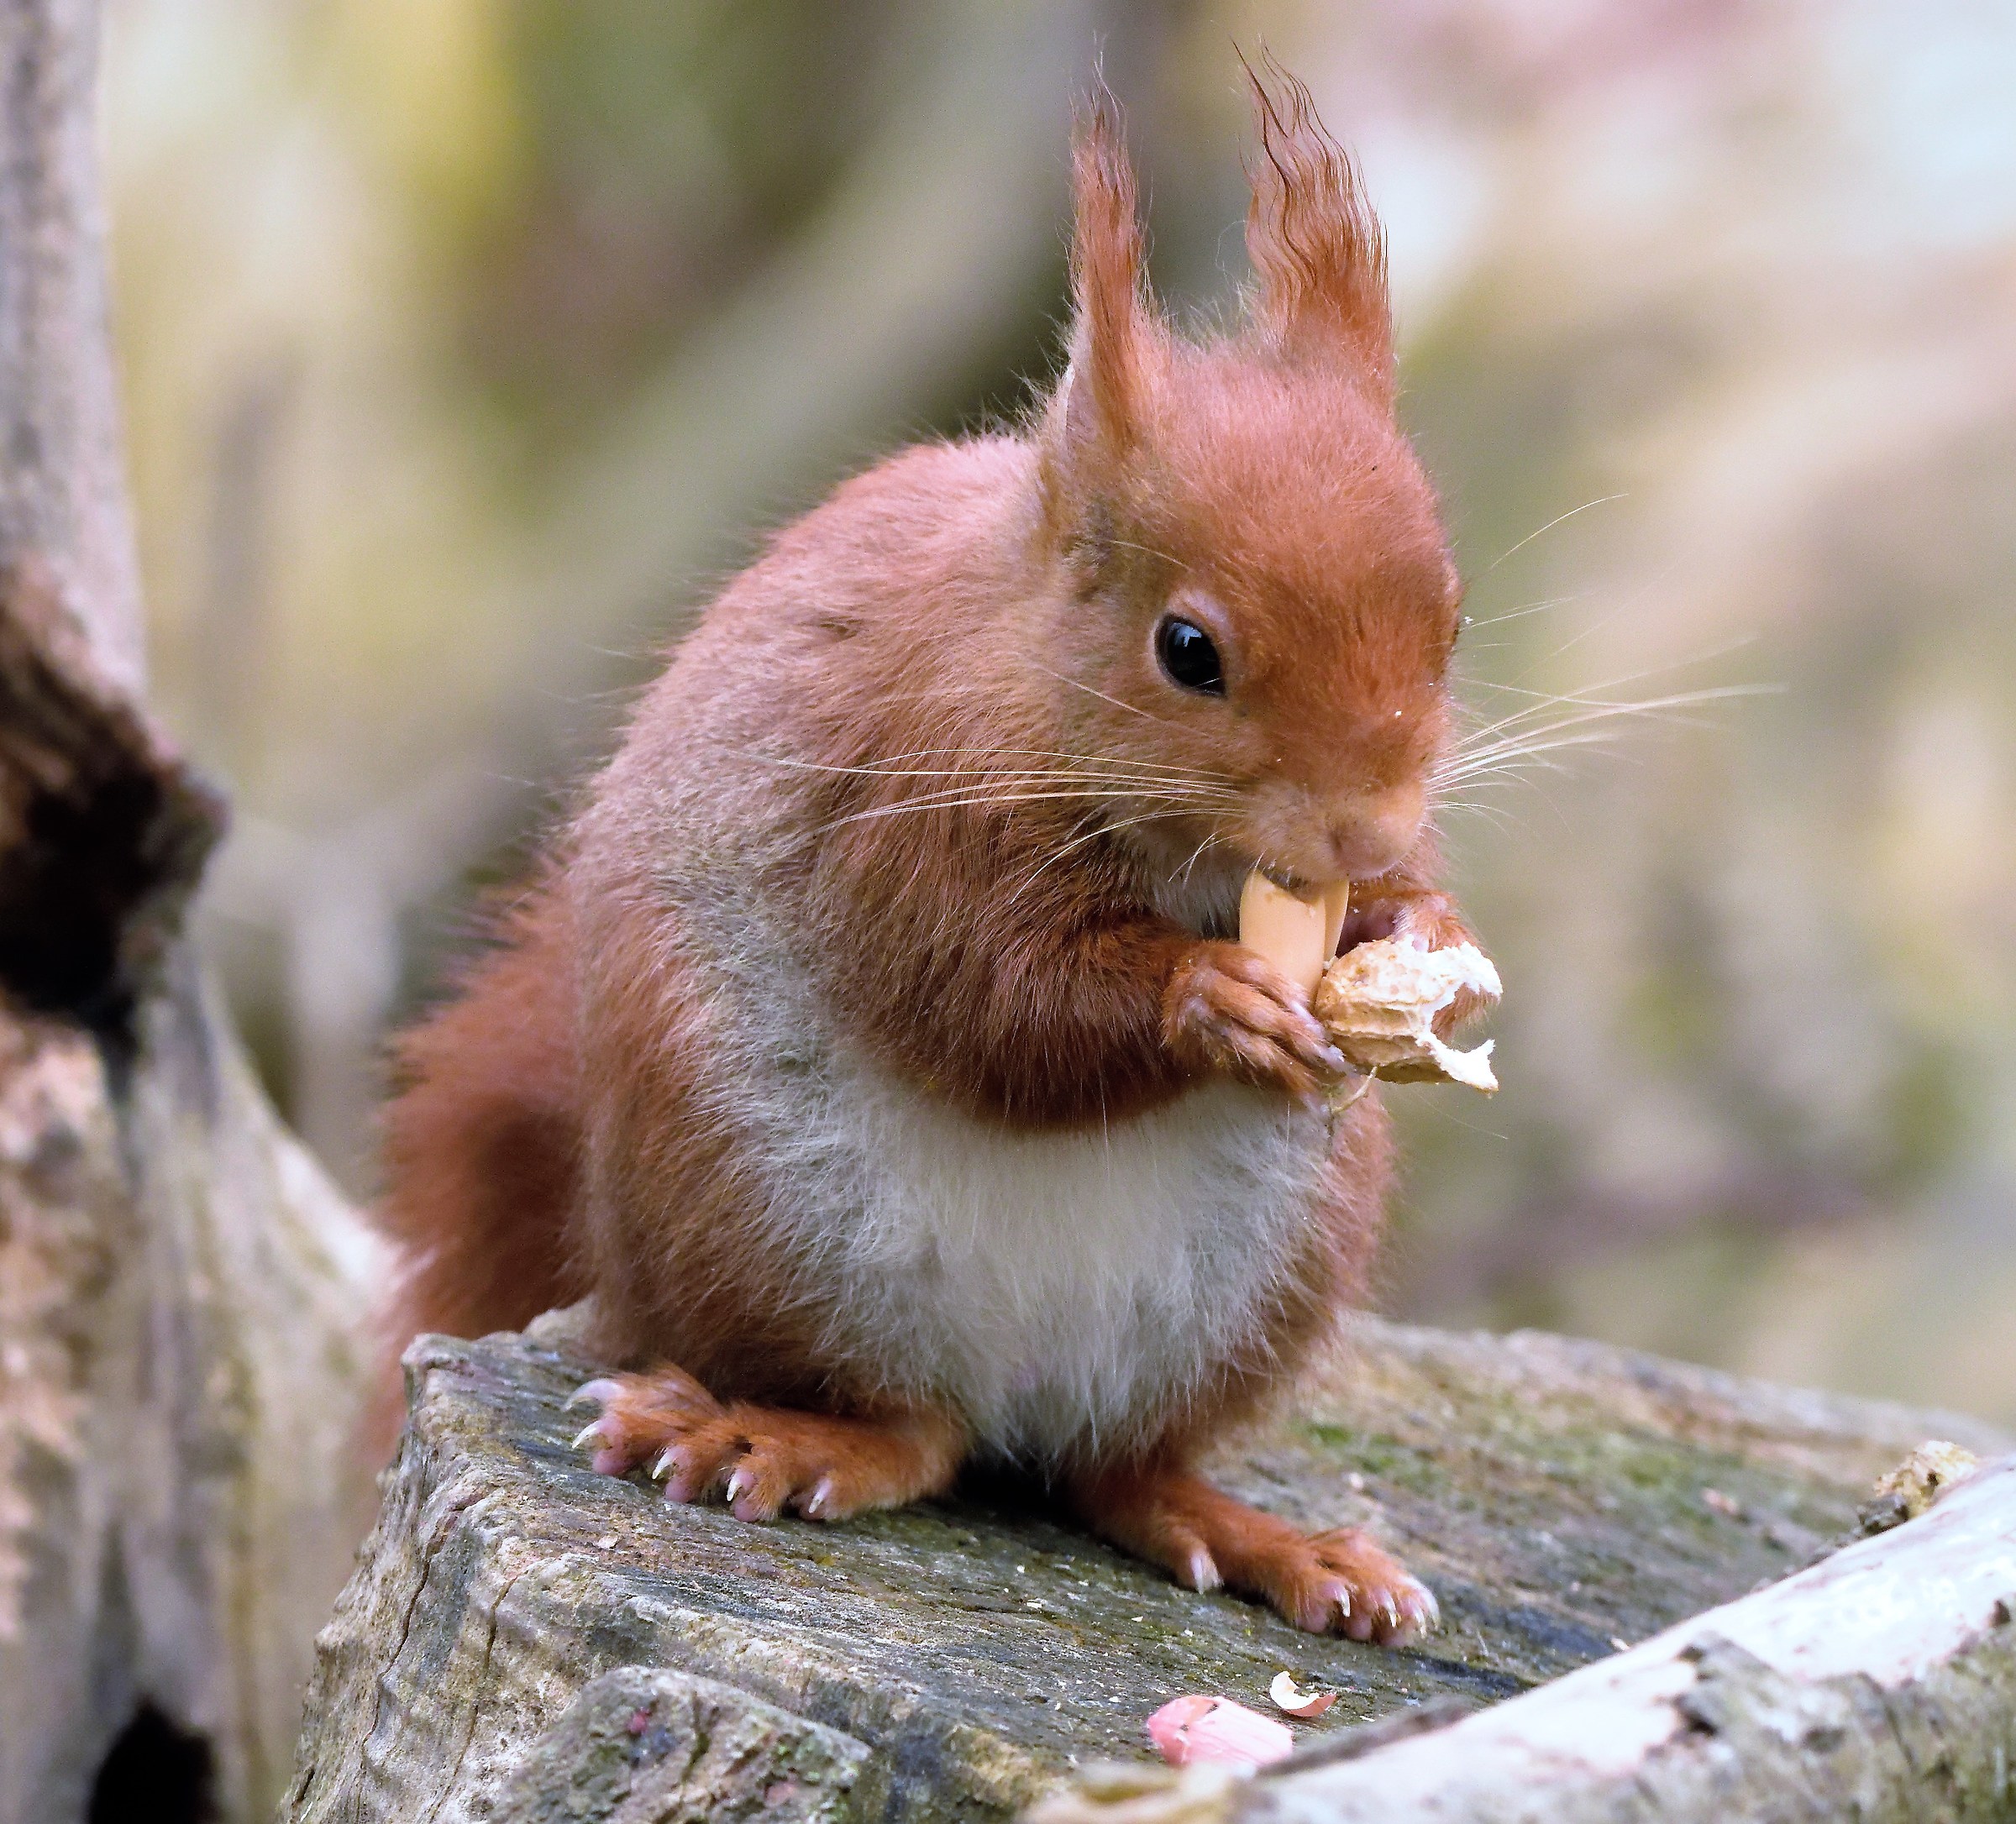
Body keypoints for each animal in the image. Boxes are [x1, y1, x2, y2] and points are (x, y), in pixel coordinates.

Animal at [376, 68, 1476, 1647]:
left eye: (1454, 618)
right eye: (1188, 650)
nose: (1369, 830)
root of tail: (1013, 1386)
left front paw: (1420, 925)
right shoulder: (891, 792)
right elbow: (984, 999)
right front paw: (1205, 998)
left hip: (1270, 1270)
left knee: (1117, 1474)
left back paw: (1266, 1540)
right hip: (750, 1206)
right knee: (909, 1438)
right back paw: (764, 1435)